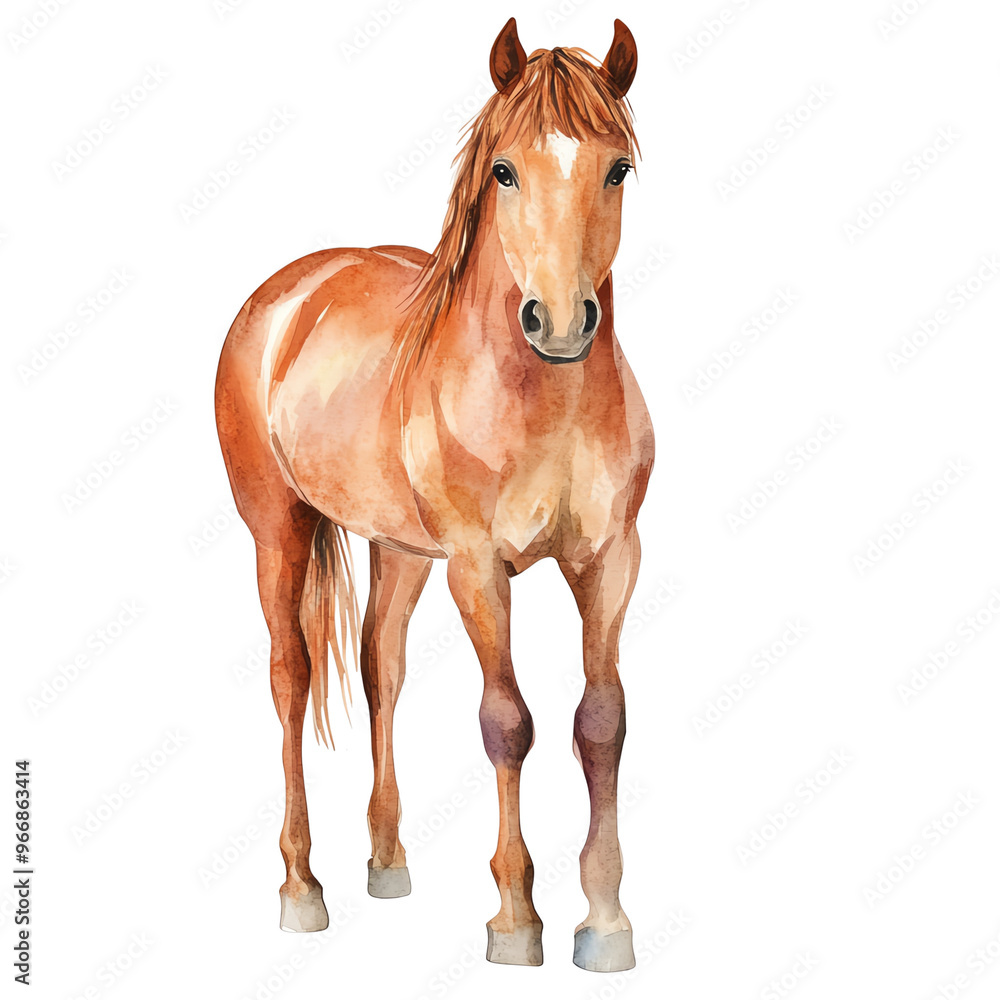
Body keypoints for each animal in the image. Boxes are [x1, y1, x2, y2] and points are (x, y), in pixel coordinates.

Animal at [214, 17, 653, 973]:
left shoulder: (611, 561)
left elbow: (602, 722)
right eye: (505, 170)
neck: (542, 403)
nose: (560, 322)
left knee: (382, 670)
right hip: (278, 531)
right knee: (290, 678)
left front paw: (605, 922)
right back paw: (302, 887)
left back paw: (386, 861)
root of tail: (287, 296)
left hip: (401, 552)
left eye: (617, 169)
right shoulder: (477, 568)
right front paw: (516, 918)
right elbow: (508, 722)